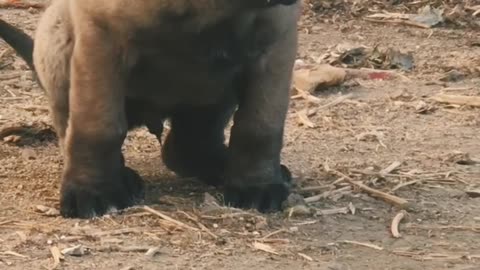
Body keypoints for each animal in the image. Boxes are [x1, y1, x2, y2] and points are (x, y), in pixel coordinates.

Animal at [0, 0, 300, 218]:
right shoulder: (100, 36)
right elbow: (97, 127)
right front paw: (92, 192)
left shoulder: (277, 42)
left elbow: (259, 127)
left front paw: (257, 186)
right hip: (56, 33)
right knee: (67, 130)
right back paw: (121, 176)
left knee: (188, 145)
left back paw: (223, 166)